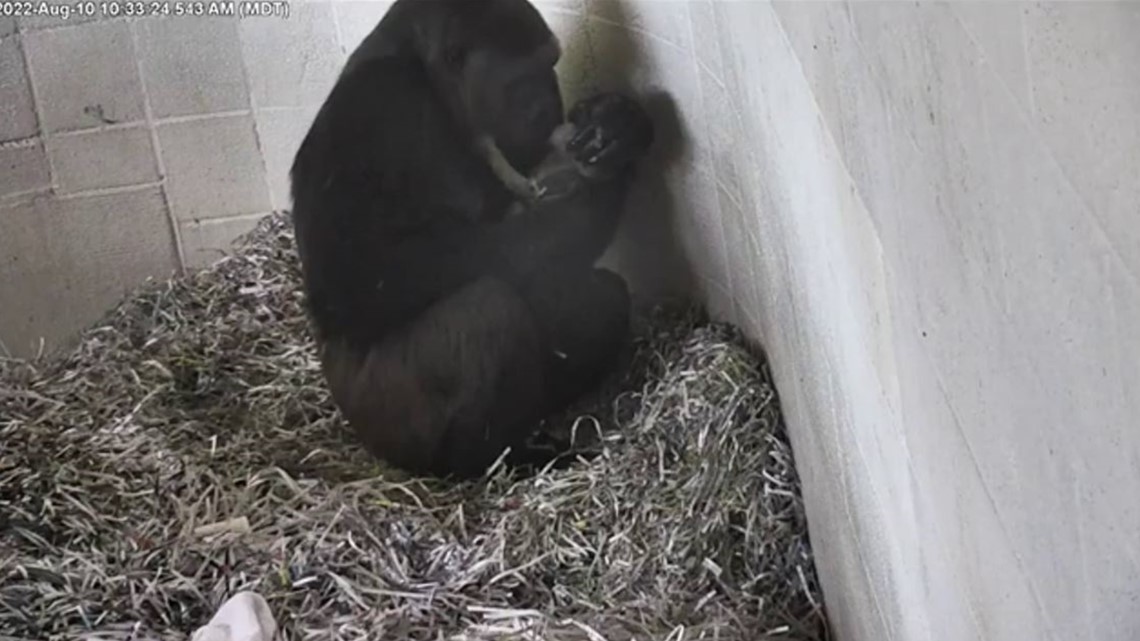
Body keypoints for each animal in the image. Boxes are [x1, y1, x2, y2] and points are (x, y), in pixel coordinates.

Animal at [288, 0, 655, 479]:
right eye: (522, 77)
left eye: (552, 64)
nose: (548, 105)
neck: (426, 76)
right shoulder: (376, 105)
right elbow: (359, 278)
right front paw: (591, 198)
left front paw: (614, 127)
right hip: (390, 427)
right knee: (488, 308)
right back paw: (491, 457)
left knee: (604, 297)